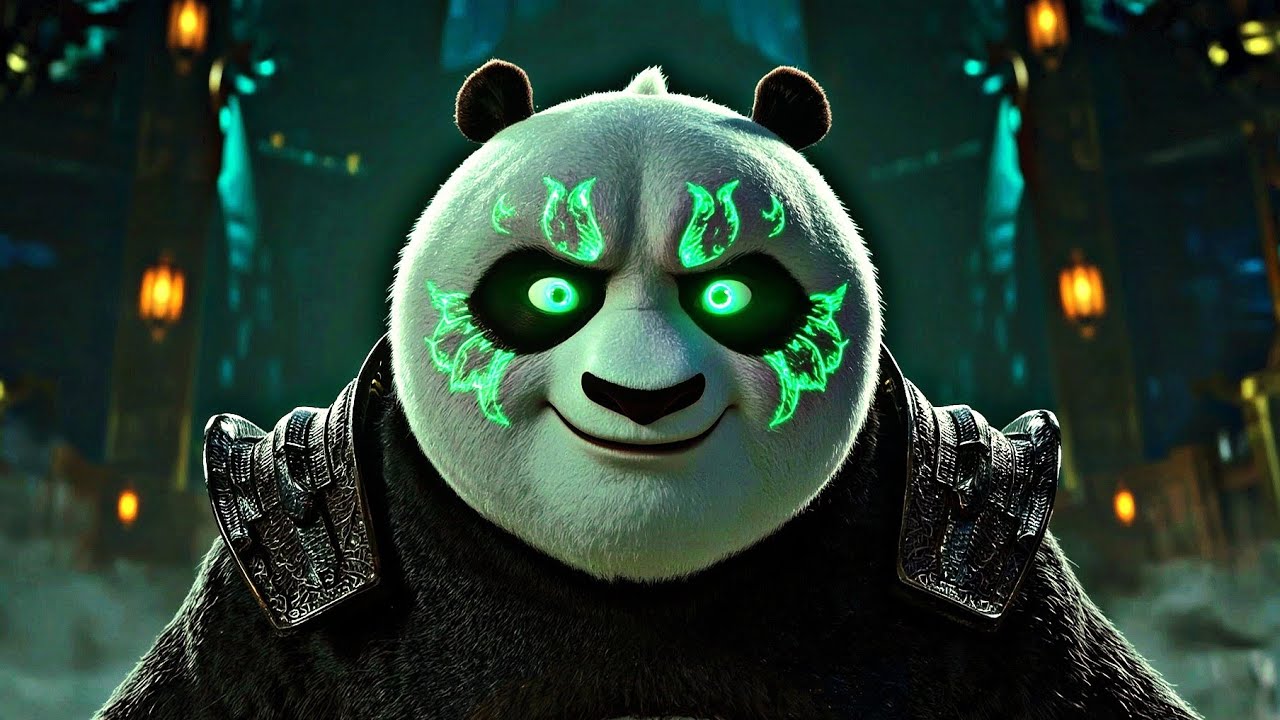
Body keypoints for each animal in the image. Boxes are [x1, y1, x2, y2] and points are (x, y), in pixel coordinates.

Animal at [96, 61, 1203, 720]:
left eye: (731, 293)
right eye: (547, 291)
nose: (637, 398)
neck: (630, 584)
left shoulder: (993, 561)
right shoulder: (272, 571)